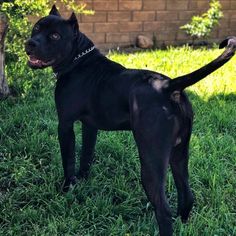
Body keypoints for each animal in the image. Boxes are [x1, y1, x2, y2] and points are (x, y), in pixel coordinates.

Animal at [25, 5, 236, 236]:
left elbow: (68, 160)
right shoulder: (90, 126)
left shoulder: (65, 125)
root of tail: (169, 86)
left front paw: (67, 189)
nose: (30, 43)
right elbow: (86, 155)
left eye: (55, 36)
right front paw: (82, 180)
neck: (77, 59)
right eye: (37, 28)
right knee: (186, 195)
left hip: (151, 160)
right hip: (179, 154)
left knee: (163, 210)